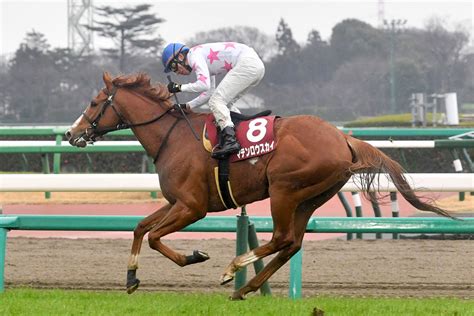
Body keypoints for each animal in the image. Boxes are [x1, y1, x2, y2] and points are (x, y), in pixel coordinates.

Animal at [65, 73, 450, 300]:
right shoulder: (176, 201)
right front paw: (131, 278)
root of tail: (343, 138)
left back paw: (233, 271)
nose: (71, 133)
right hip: (310, 198)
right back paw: (246, 288)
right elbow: (140, 227)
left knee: (282, 238)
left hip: (284, 189)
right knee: (292, 243)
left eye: (95, 103)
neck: (171, 137)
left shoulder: (192, 207)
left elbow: (156, 237)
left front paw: (195, 256)